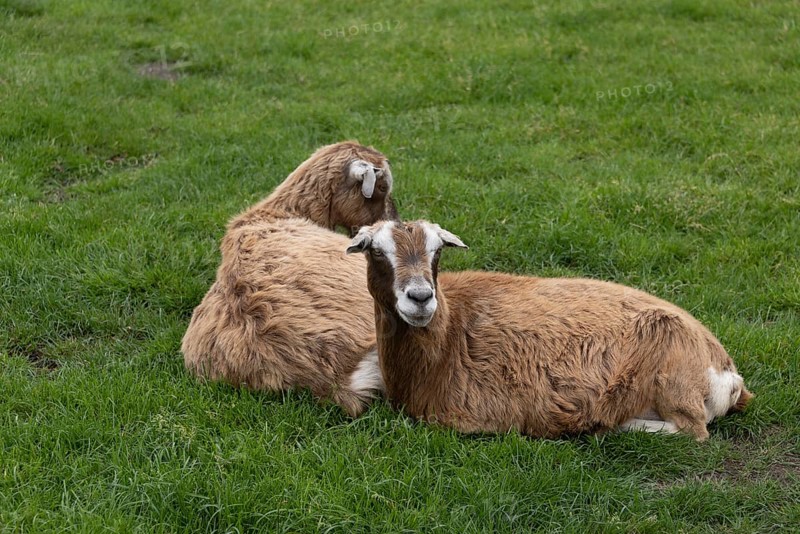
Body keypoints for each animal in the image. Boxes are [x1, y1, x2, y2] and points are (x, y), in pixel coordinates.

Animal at [346, 220, 752, 440]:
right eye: (376, 250)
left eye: (437, 251)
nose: (420, 297)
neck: (450, 334)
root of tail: (726, 370)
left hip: (669, 371)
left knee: (693, 430)